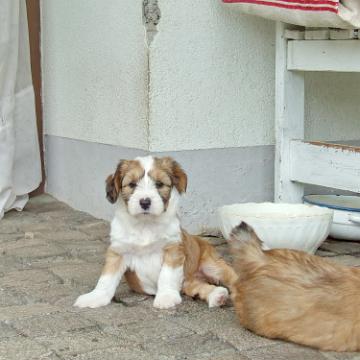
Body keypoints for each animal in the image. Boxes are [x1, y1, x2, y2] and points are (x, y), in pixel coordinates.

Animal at [74, 155, 236, 310]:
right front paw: (95, 297)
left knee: (232, 277)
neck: (145, 224)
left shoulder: (173, 249)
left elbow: (167, 275)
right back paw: (217, 295)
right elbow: (106, 278)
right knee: (200, 287)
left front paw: (166, 297)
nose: (145, 202)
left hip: (213, 264)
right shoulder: (118, 251)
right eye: (132, 184)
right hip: (189, 282)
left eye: (159, 184)